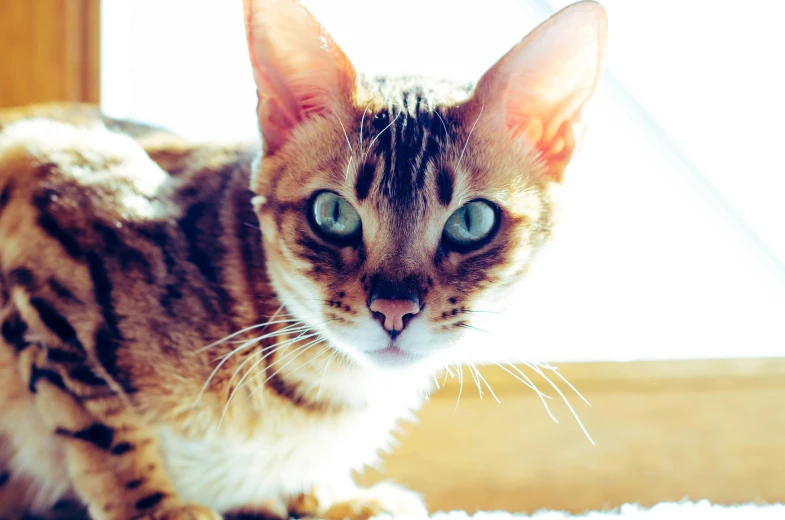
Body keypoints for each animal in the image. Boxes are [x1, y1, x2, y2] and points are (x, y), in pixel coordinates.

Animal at [0, 0, 608, 516]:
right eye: (332, 214)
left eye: (471, 222)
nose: (393, 310)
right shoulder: (42, 197)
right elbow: (103, 431)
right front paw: (159, 510)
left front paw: (331, 497)